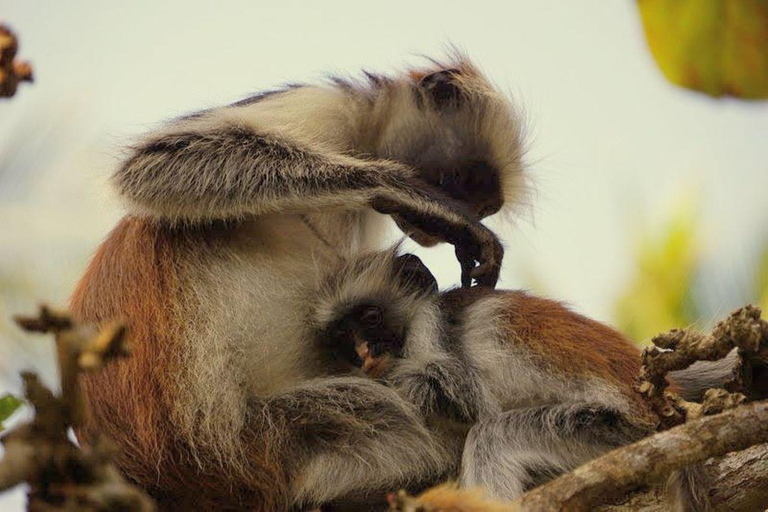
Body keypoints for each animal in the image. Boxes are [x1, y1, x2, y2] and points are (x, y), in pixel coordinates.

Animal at [70, 55, 528, 512]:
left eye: (482, 206)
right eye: (457, 185)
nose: (432, 232)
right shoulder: (328, 107)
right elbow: (154, 162)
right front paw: (412, 194)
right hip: (229, 435)